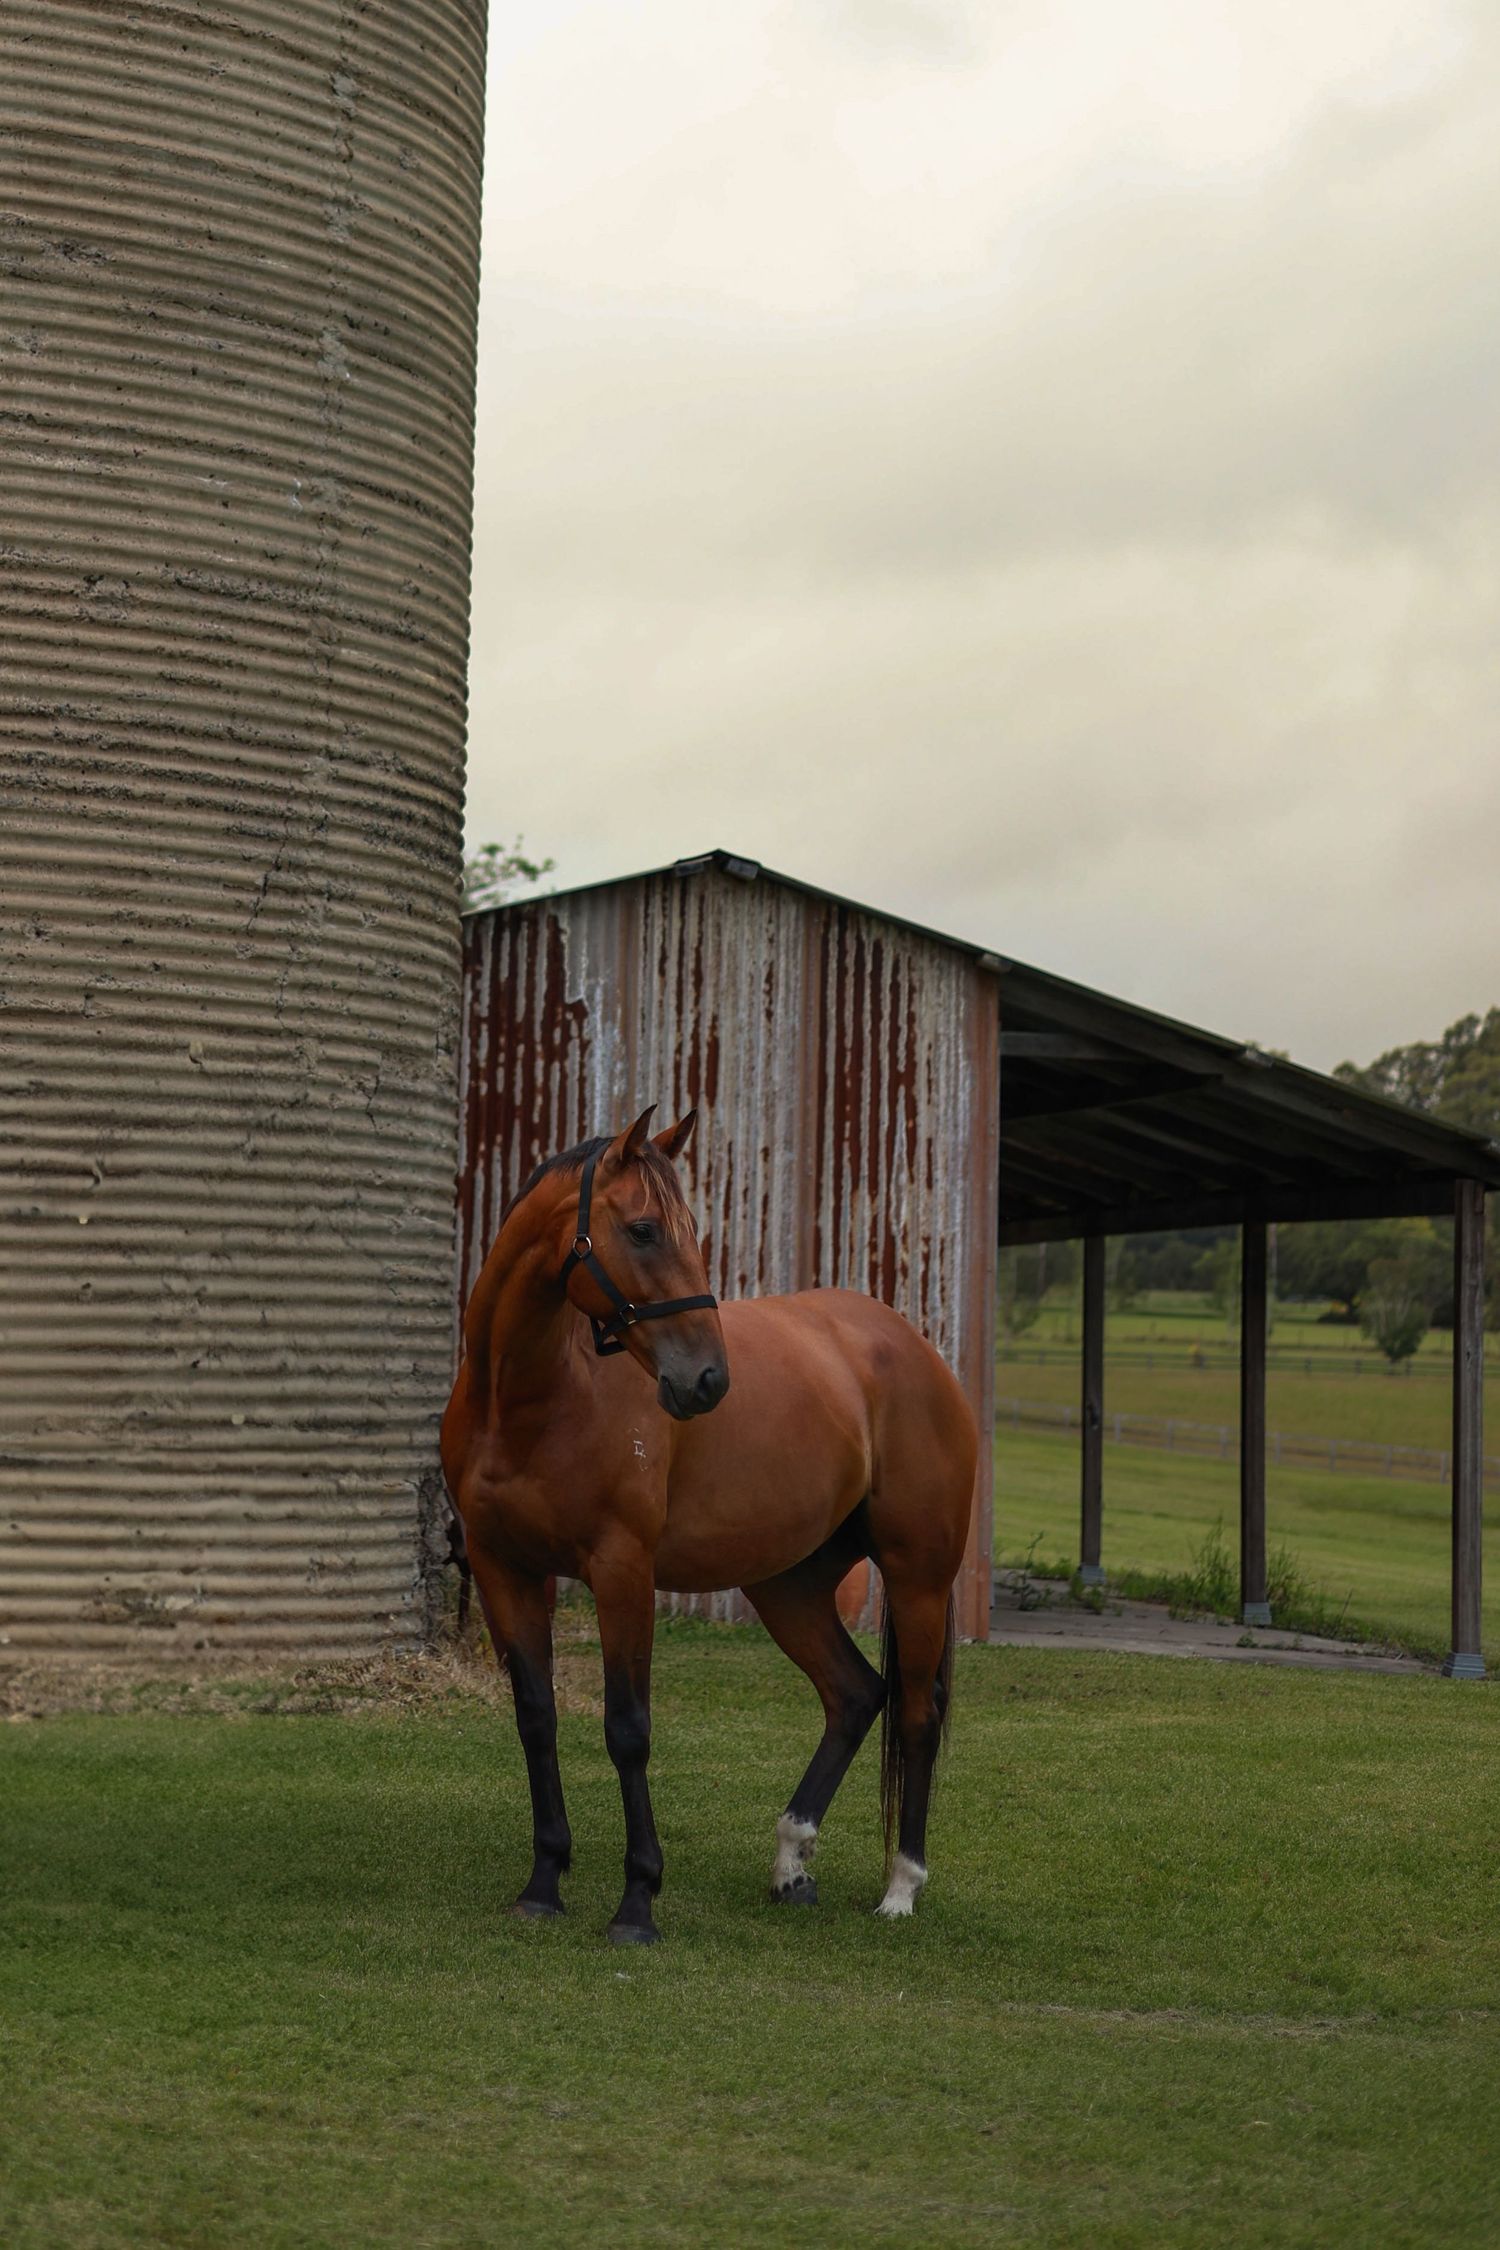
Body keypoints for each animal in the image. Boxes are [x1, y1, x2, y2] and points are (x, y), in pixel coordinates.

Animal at [440, 1106, 977, 1945]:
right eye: (643, 1230)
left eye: (692, 1230)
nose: (706, 1381)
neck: (532, 1401)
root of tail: (912, 1348)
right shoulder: (505, 1571)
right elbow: (537, 1718)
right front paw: (543, 1884)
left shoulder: (622, 1570)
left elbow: (628, 1729)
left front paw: (637, 1903)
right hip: (787, 1587)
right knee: (856, 1695)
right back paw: (792, 1866)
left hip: (918, 1577)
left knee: (917, 1714)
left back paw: (901, 1888)